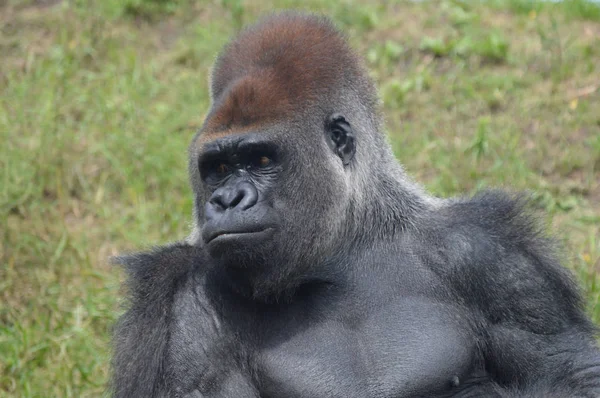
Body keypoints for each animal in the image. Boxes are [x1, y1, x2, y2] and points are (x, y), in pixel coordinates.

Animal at [110, 11, 600, 398]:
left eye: (261, 159)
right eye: (217, 167)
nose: (226, 199)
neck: (345, 248)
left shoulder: (491, 254)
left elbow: (573, 373)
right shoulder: (181, 307)